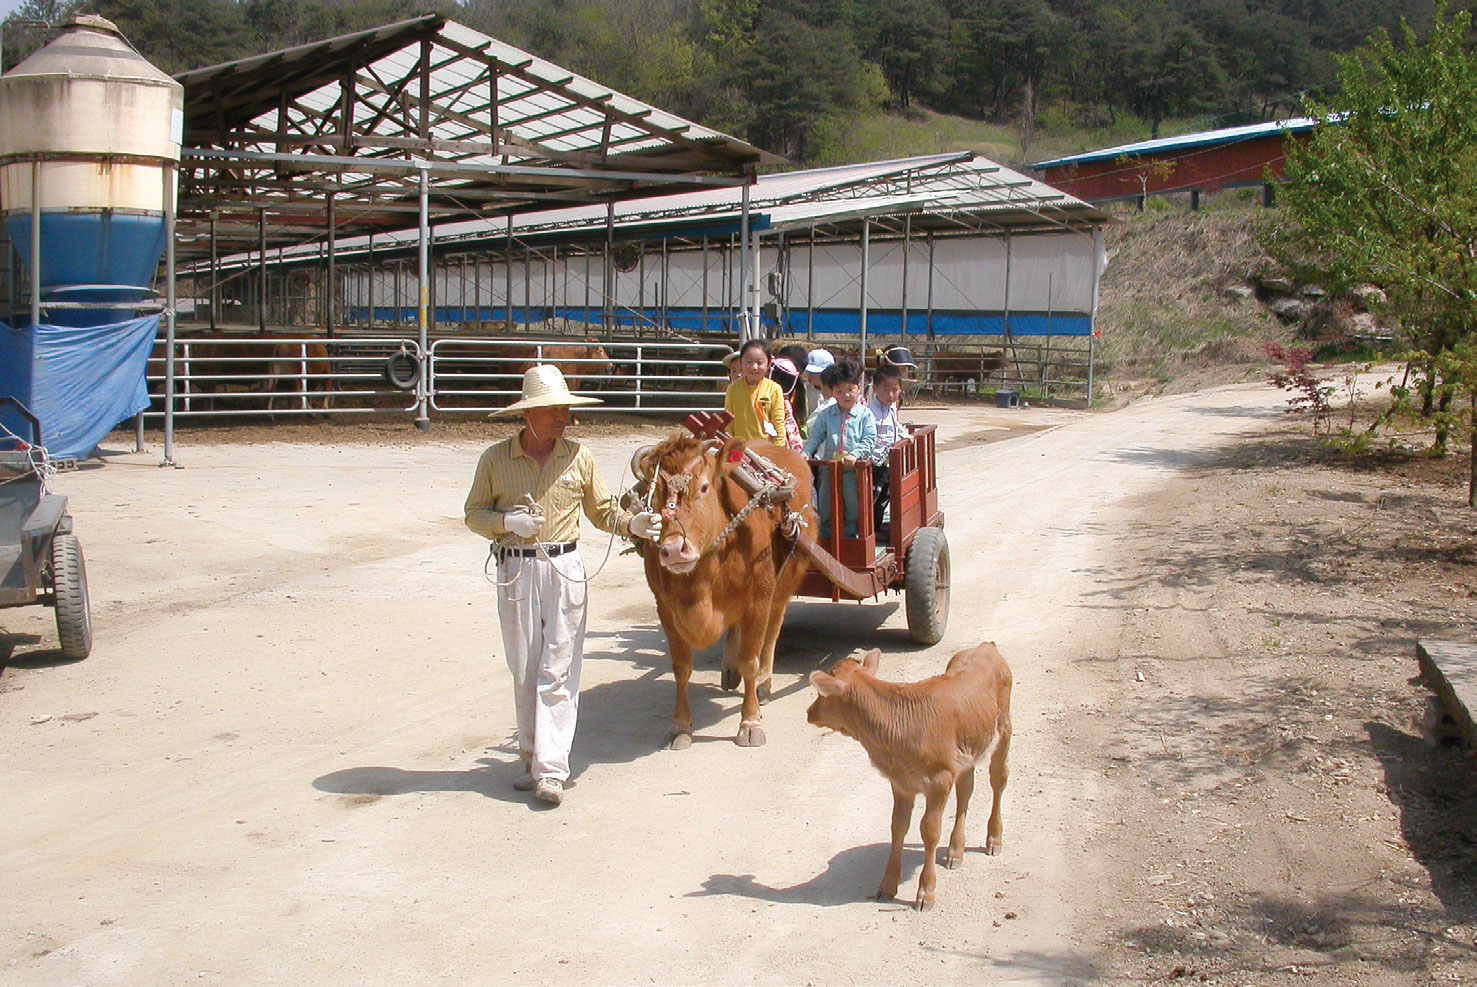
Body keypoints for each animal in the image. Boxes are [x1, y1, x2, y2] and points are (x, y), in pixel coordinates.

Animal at [635, 431, 821, 747]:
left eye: (704, 487)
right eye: (655, 492)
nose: (674, 550)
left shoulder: (758, 599)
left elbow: (751, 660)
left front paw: (750, 722)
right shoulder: (666, 609)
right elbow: (681, 667)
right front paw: (680, 726)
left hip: (784, 581)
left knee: (774, 627)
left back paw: (764, 680)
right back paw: (729, 668)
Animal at [809, 644, 1016, 916]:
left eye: (821, 694)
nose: (809, 712)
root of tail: (986, 646)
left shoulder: (940, 779)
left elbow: (930, 831)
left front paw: (925, 893)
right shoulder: (901, 781)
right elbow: (898, 826)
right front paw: (887, 885)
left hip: (1004, 731)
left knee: (998, 780)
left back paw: (994, 838)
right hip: (967, 751)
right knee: (965, 790)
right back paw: (955, 852)